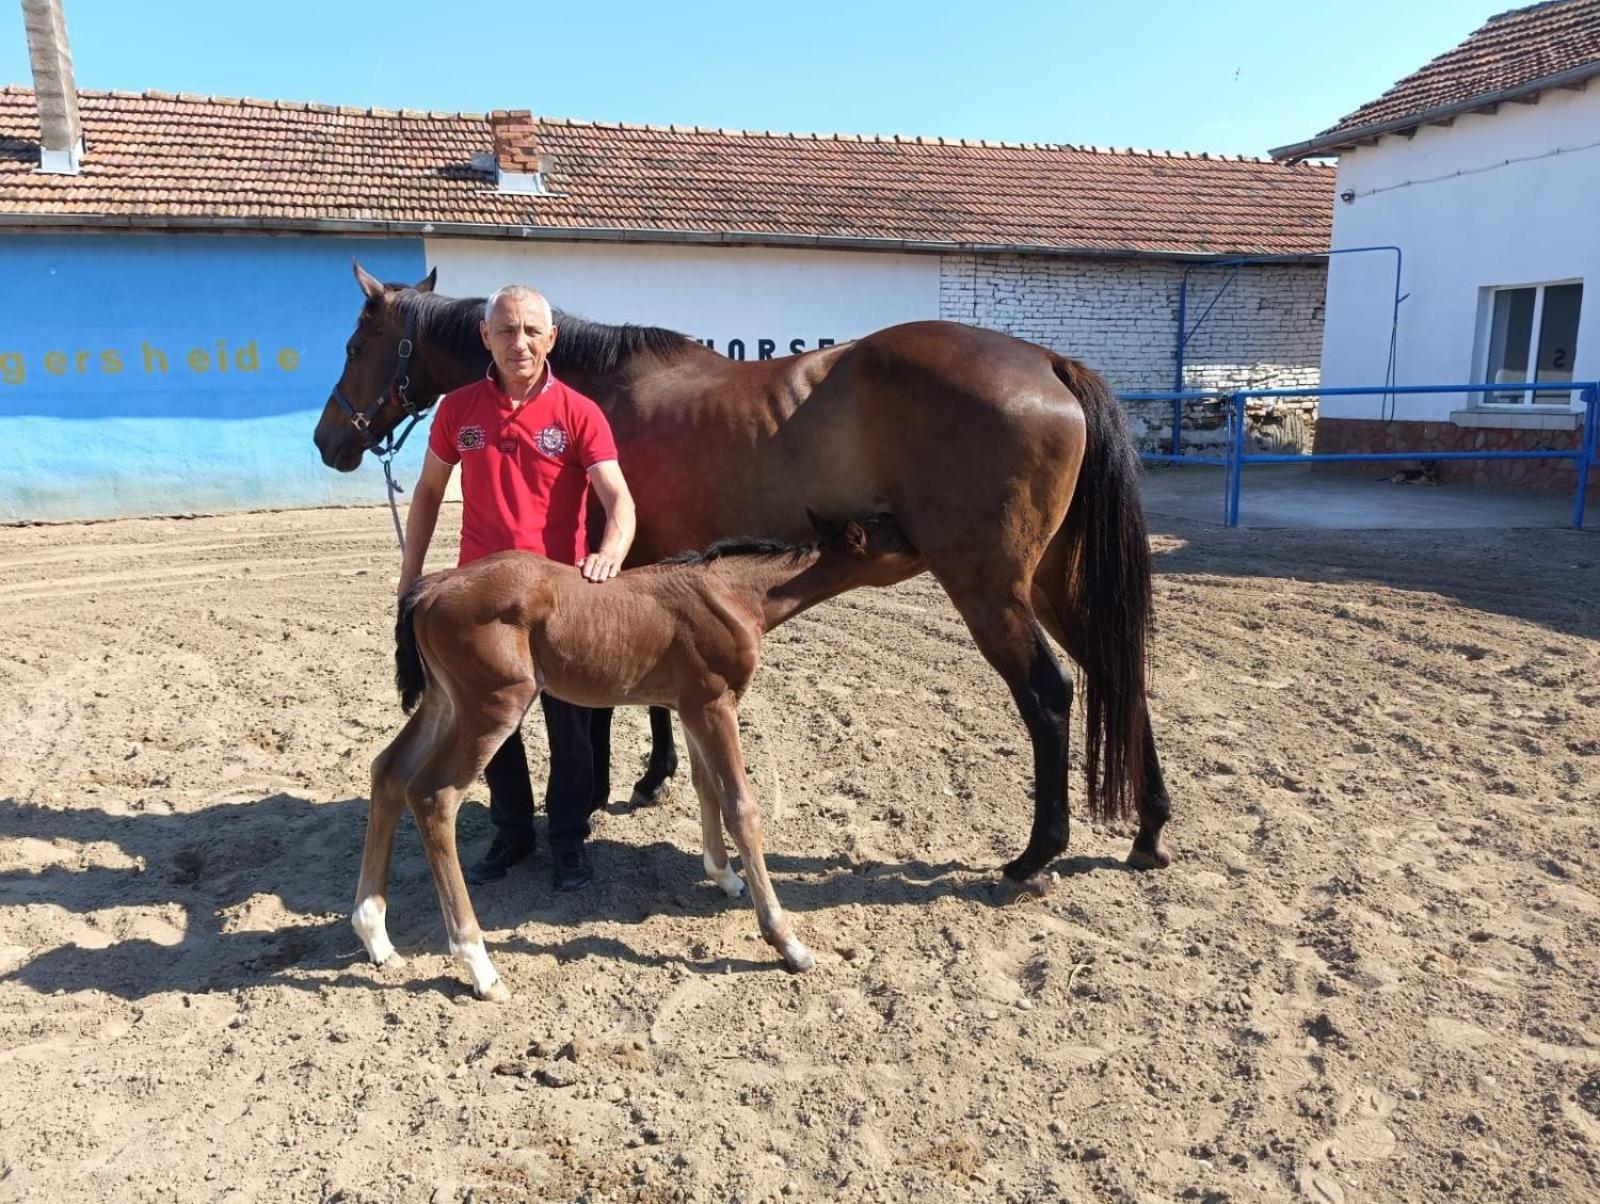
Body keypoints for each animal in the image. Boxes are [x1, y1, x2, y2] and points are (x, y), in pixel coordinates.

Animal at [355, 512, 921, 999]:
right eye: (896, 537)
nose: (926, 547)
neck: (734, 593)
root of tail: (431, 587)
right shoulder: (716, 705)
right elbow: (742, 806)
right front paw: (787, 941)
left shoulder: (693, 706)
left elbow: (705, 788)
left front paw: (724, 877)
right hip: (491, 706)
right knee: (434, 796)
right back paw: (478, 965)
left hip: (444, 701)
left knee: (388, 771)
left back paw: (376, 934)